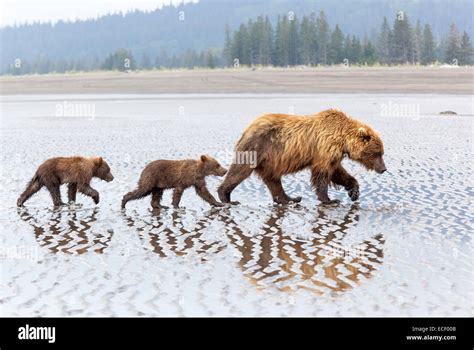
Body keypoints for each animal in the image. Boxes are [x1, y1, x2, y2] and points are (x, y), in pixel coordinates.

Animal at [218, 109, 386, 205]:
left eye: (382, 153)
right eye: (377, 153)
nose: (383, 169)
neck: (342, 138)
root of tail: (247, 128)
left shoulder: (334, 154)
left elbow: (338, 172)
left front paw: (354, 192)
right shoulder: (324, 148)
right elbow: (323, 173)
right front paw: (330, 199)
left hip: (269, 160)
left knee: (273, 179)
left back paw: (290, 198)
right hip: (256, 147)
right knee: (240, 170)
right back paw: (225, 196)